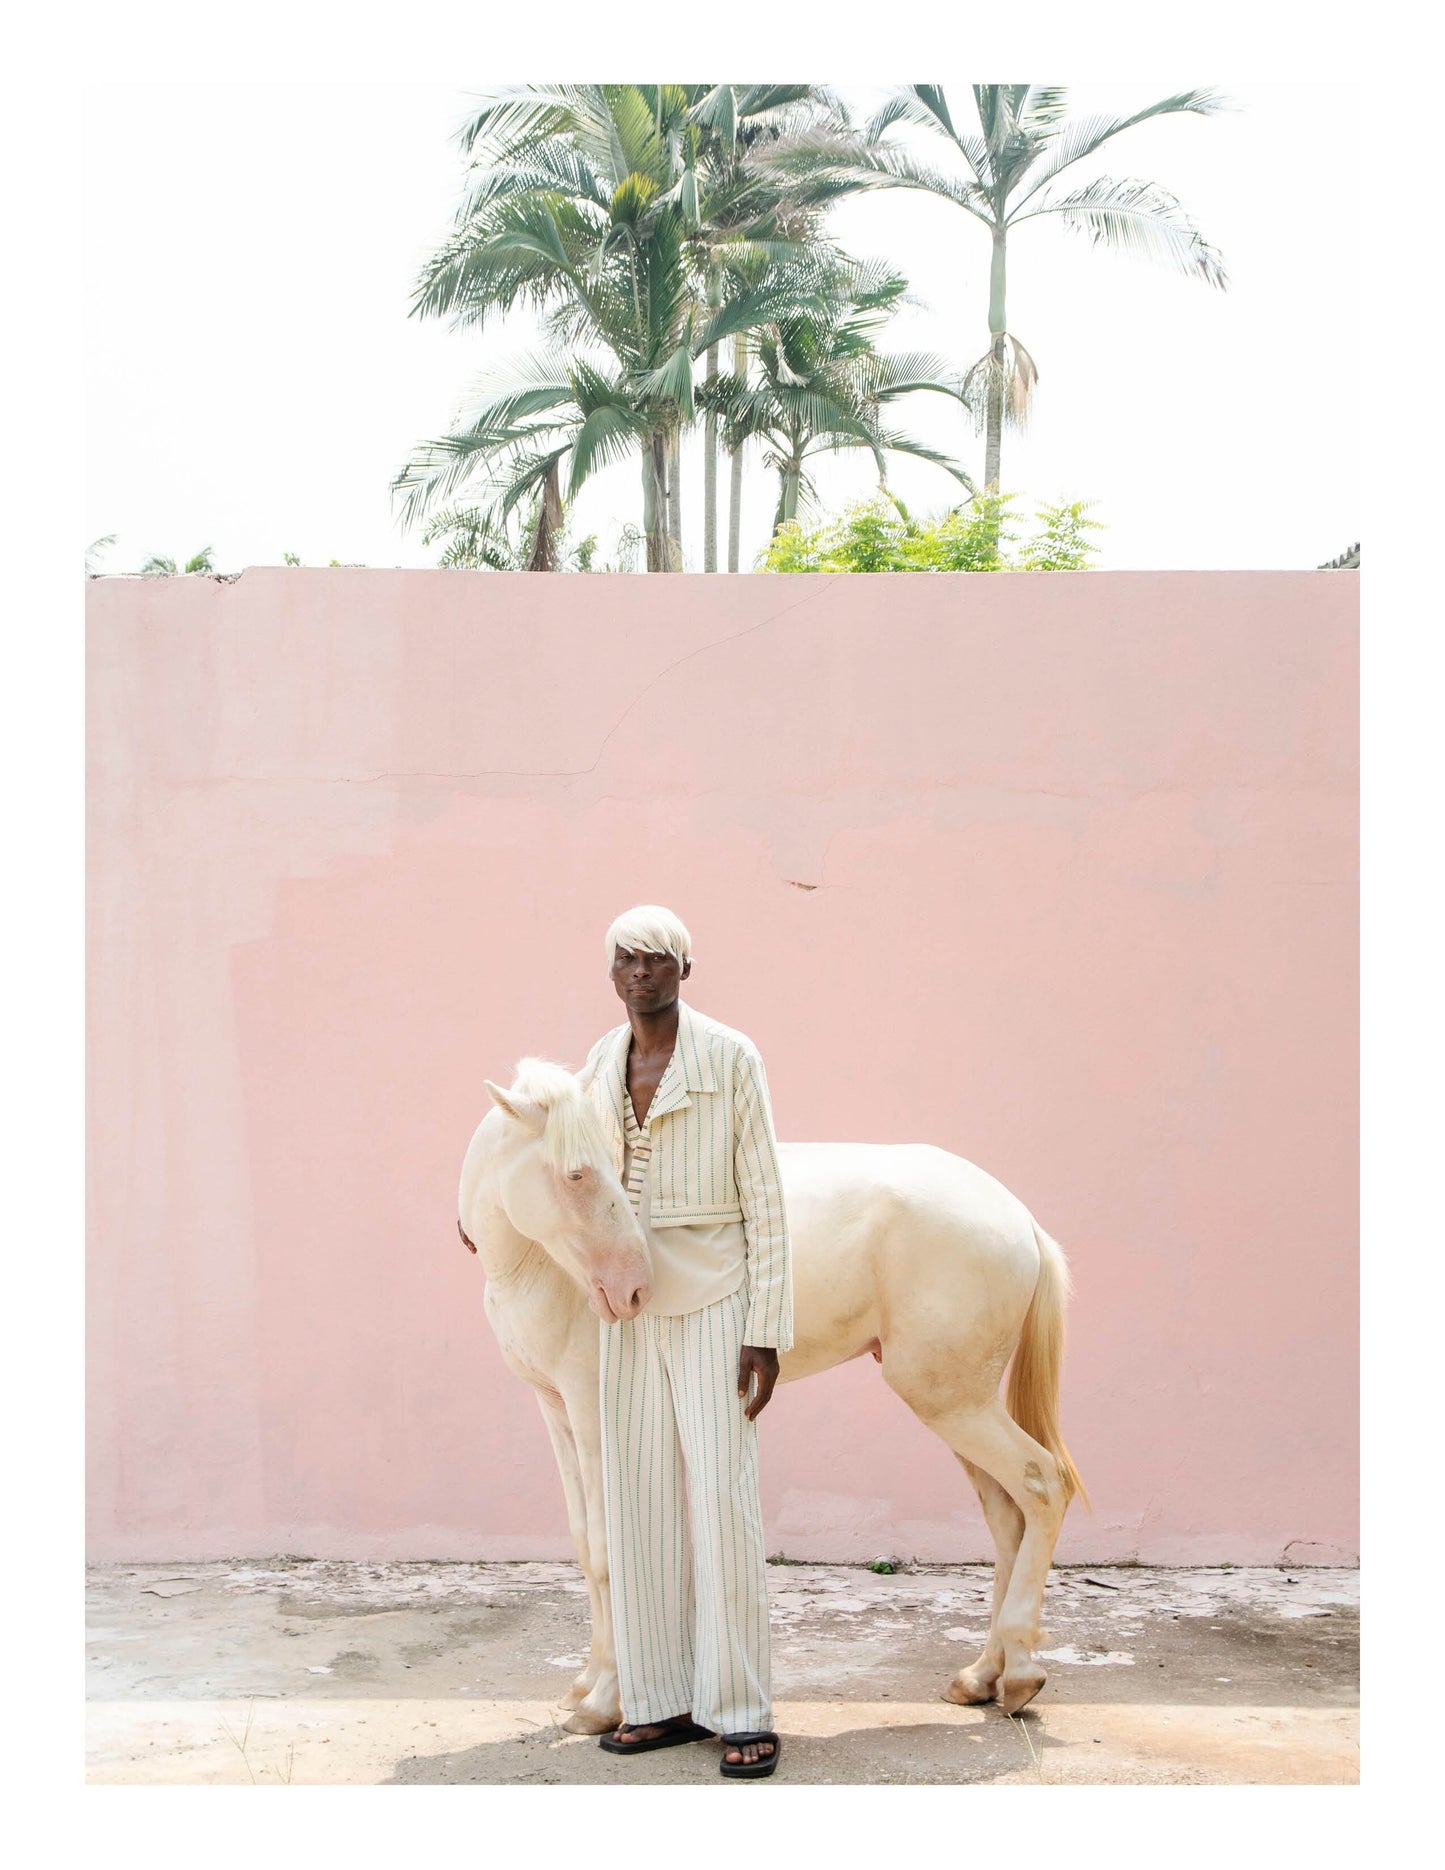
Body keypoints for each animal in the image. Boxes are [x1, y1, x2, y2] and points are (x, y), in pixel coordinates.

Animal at [459, 1062, 1084, 1727]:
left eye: (600, 1166)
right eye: (578, 1174)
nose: (632, 1289)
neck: (534, 1268)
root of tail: (1016, 1216)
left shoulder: (590, 1409)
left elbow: (605, 1552)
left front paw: (604, 1700)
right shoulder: (556, 1409)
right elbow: (582, 1545)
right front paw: (585, 1687)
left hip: (953, 1404)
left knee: (1043, 1487)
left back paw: (1021, 1671)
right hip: (959, 1405)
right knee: (1008, 1519)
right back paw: (983, 1675)